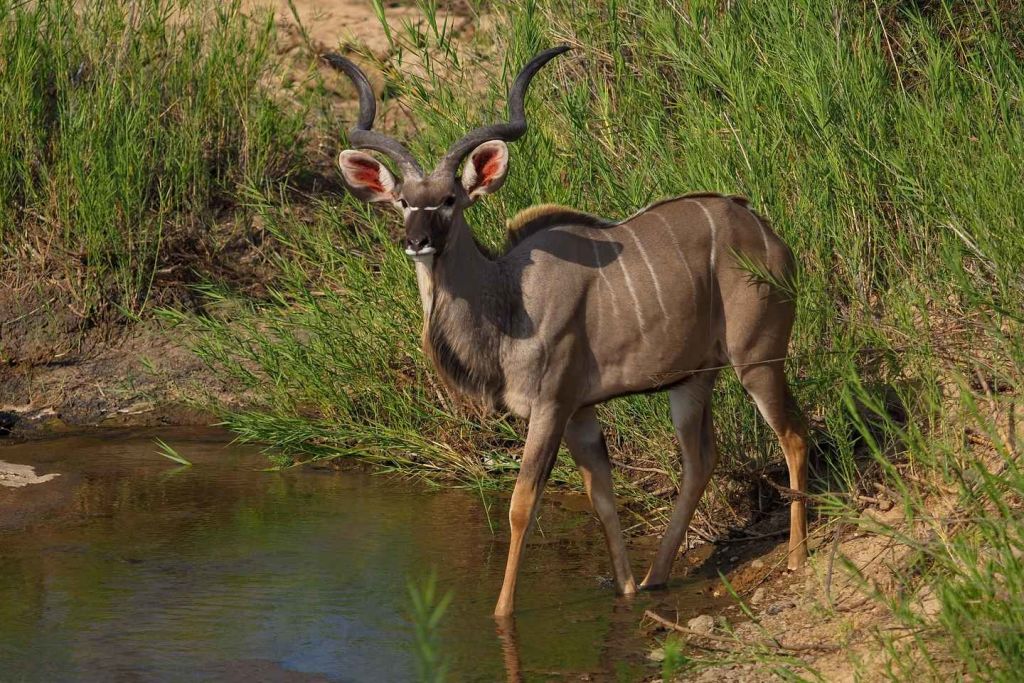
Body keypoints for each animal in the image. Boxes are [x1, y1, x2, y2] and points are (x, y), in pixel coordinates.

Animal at [328, 46, 808, 617]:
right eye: (402, 201)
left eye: (449, 199)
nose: (417, 240)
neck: (509, 298)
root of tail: (772, 239)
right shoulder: (581, 411)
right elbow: (601, 498)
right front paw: (627, 591)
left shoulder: (551, 406)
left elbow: (522, 504)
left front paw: (502, 614)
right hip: (692, 380)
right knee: (700, 460)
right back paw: (655, 578)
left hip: (758, 359)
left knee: (793, 436)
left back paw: (798, 556)